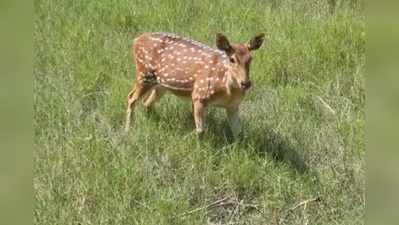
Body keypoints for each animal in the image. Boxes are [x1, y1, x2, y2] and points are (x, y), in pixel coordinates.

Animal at [125, 31, 266, 137]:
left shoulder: (233, 105)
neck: (227, 90)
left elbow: (238, 133)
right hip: (144, 74)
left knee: (147, 102)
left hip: (161, 84)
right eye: (232, 59)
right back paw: (128, 129)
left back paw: (154, 121)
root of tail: (136, 40)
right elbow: (200, 131)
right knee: (131, 98)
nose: (245, 83)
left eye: (250, 59)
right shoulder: (199, 95)